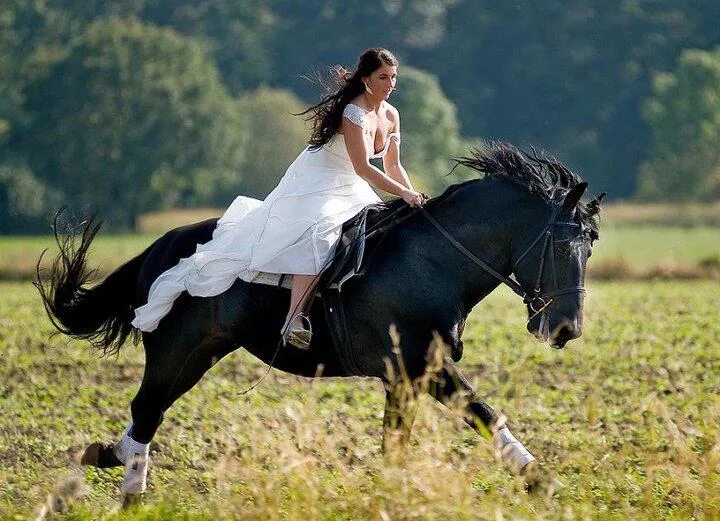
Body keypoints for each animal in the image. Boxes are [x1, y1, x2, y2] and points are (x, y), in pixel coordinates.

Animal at [38, 141, 600, 496]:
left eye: (590, 249)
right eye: (562, 245)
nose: (566, 329)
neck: (433, 260)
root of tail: (161, 246)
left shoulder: (406, 378)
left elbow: (396, 444)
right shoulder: (426, 367)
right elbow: (484, 413)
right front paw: (542, 483)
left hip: (201, 354)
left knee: (144, 416)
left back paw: (107, 460)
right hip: (176, 352)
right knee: (146, 410)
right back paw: (128, 489)